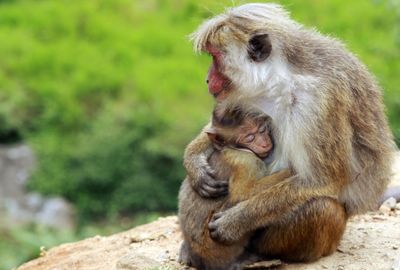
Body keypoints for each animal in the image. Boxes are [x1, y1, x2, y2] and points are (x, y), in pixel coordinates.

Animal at [179, 104, 290, 270]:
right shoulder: (246, 160)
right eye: (249, 138)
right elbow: (243, 193)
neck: (234, 148)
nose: (264, 143)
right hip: (216, 246)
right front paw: (292, 171)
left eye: (262, 130)